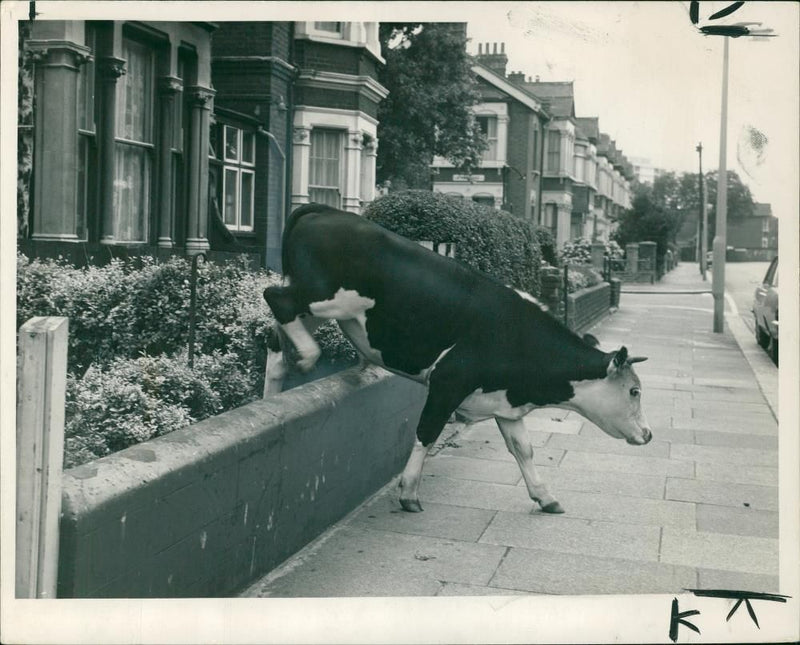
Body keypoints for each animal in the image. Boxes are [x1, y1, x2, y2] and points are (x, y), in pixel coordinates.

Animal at [262, 204, 648, 516]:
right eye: (634, 392)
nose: (648, 434)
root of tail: (326, 211)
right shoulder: (448, 382)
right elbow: (427, 433)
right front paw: (409, 493)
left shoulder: (504, 402)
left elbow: (524, 449)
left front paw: (545, 496)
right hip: (325, 297)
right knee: (276, 299)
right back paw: (308, 356)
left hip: (319, 307)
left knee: (275, 340)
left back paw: (272, 394)